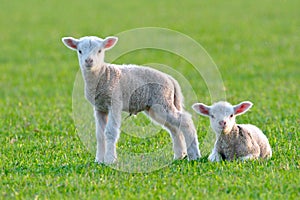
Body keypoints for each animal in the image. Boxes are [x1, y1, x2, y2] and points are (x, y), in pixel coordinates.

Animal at [61, 35, 200, 164]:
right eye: (79, 51)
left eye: (99, 50)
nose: (88, 61)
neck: (103, 74)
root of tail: (171, 79)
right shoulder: (100, 108)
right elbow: (100, 135)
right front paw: (99, 160)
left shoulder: (115, 102)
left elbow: (110, 132)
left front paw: (110, 160)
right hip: (157, 107)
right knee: (175, 128)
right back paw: (179, 155)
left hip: (163, 100)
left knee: (185, 121)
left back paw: (194, 156)